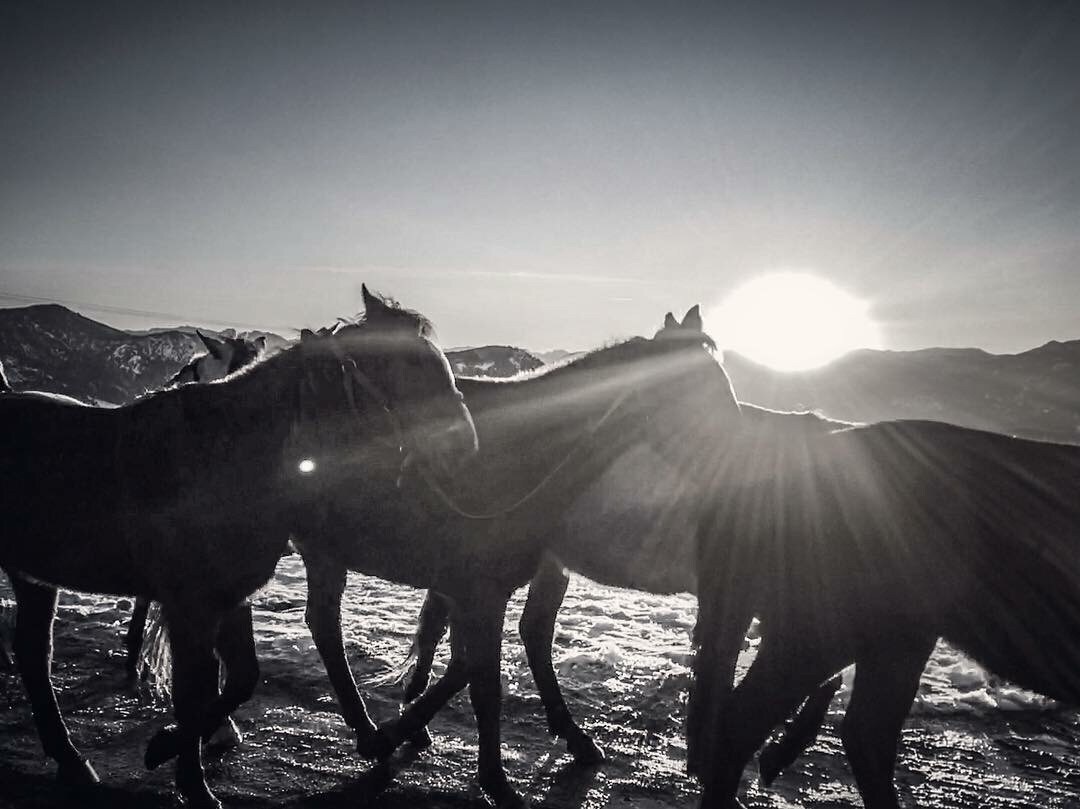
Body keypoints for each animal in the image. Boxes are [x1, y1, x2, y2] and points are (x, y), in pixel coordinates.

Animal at [0, 285, 475, 807]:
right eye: (408, 364)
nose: (466, 445)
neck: (228, 455)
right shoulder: (190, 606)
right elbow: (194, 691)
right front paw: (190, 777)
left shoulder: (229, 599)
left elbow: (239, 679)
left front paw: (171, 746)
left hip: (33, 577)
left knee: (33, 655)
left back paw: (71, 761)